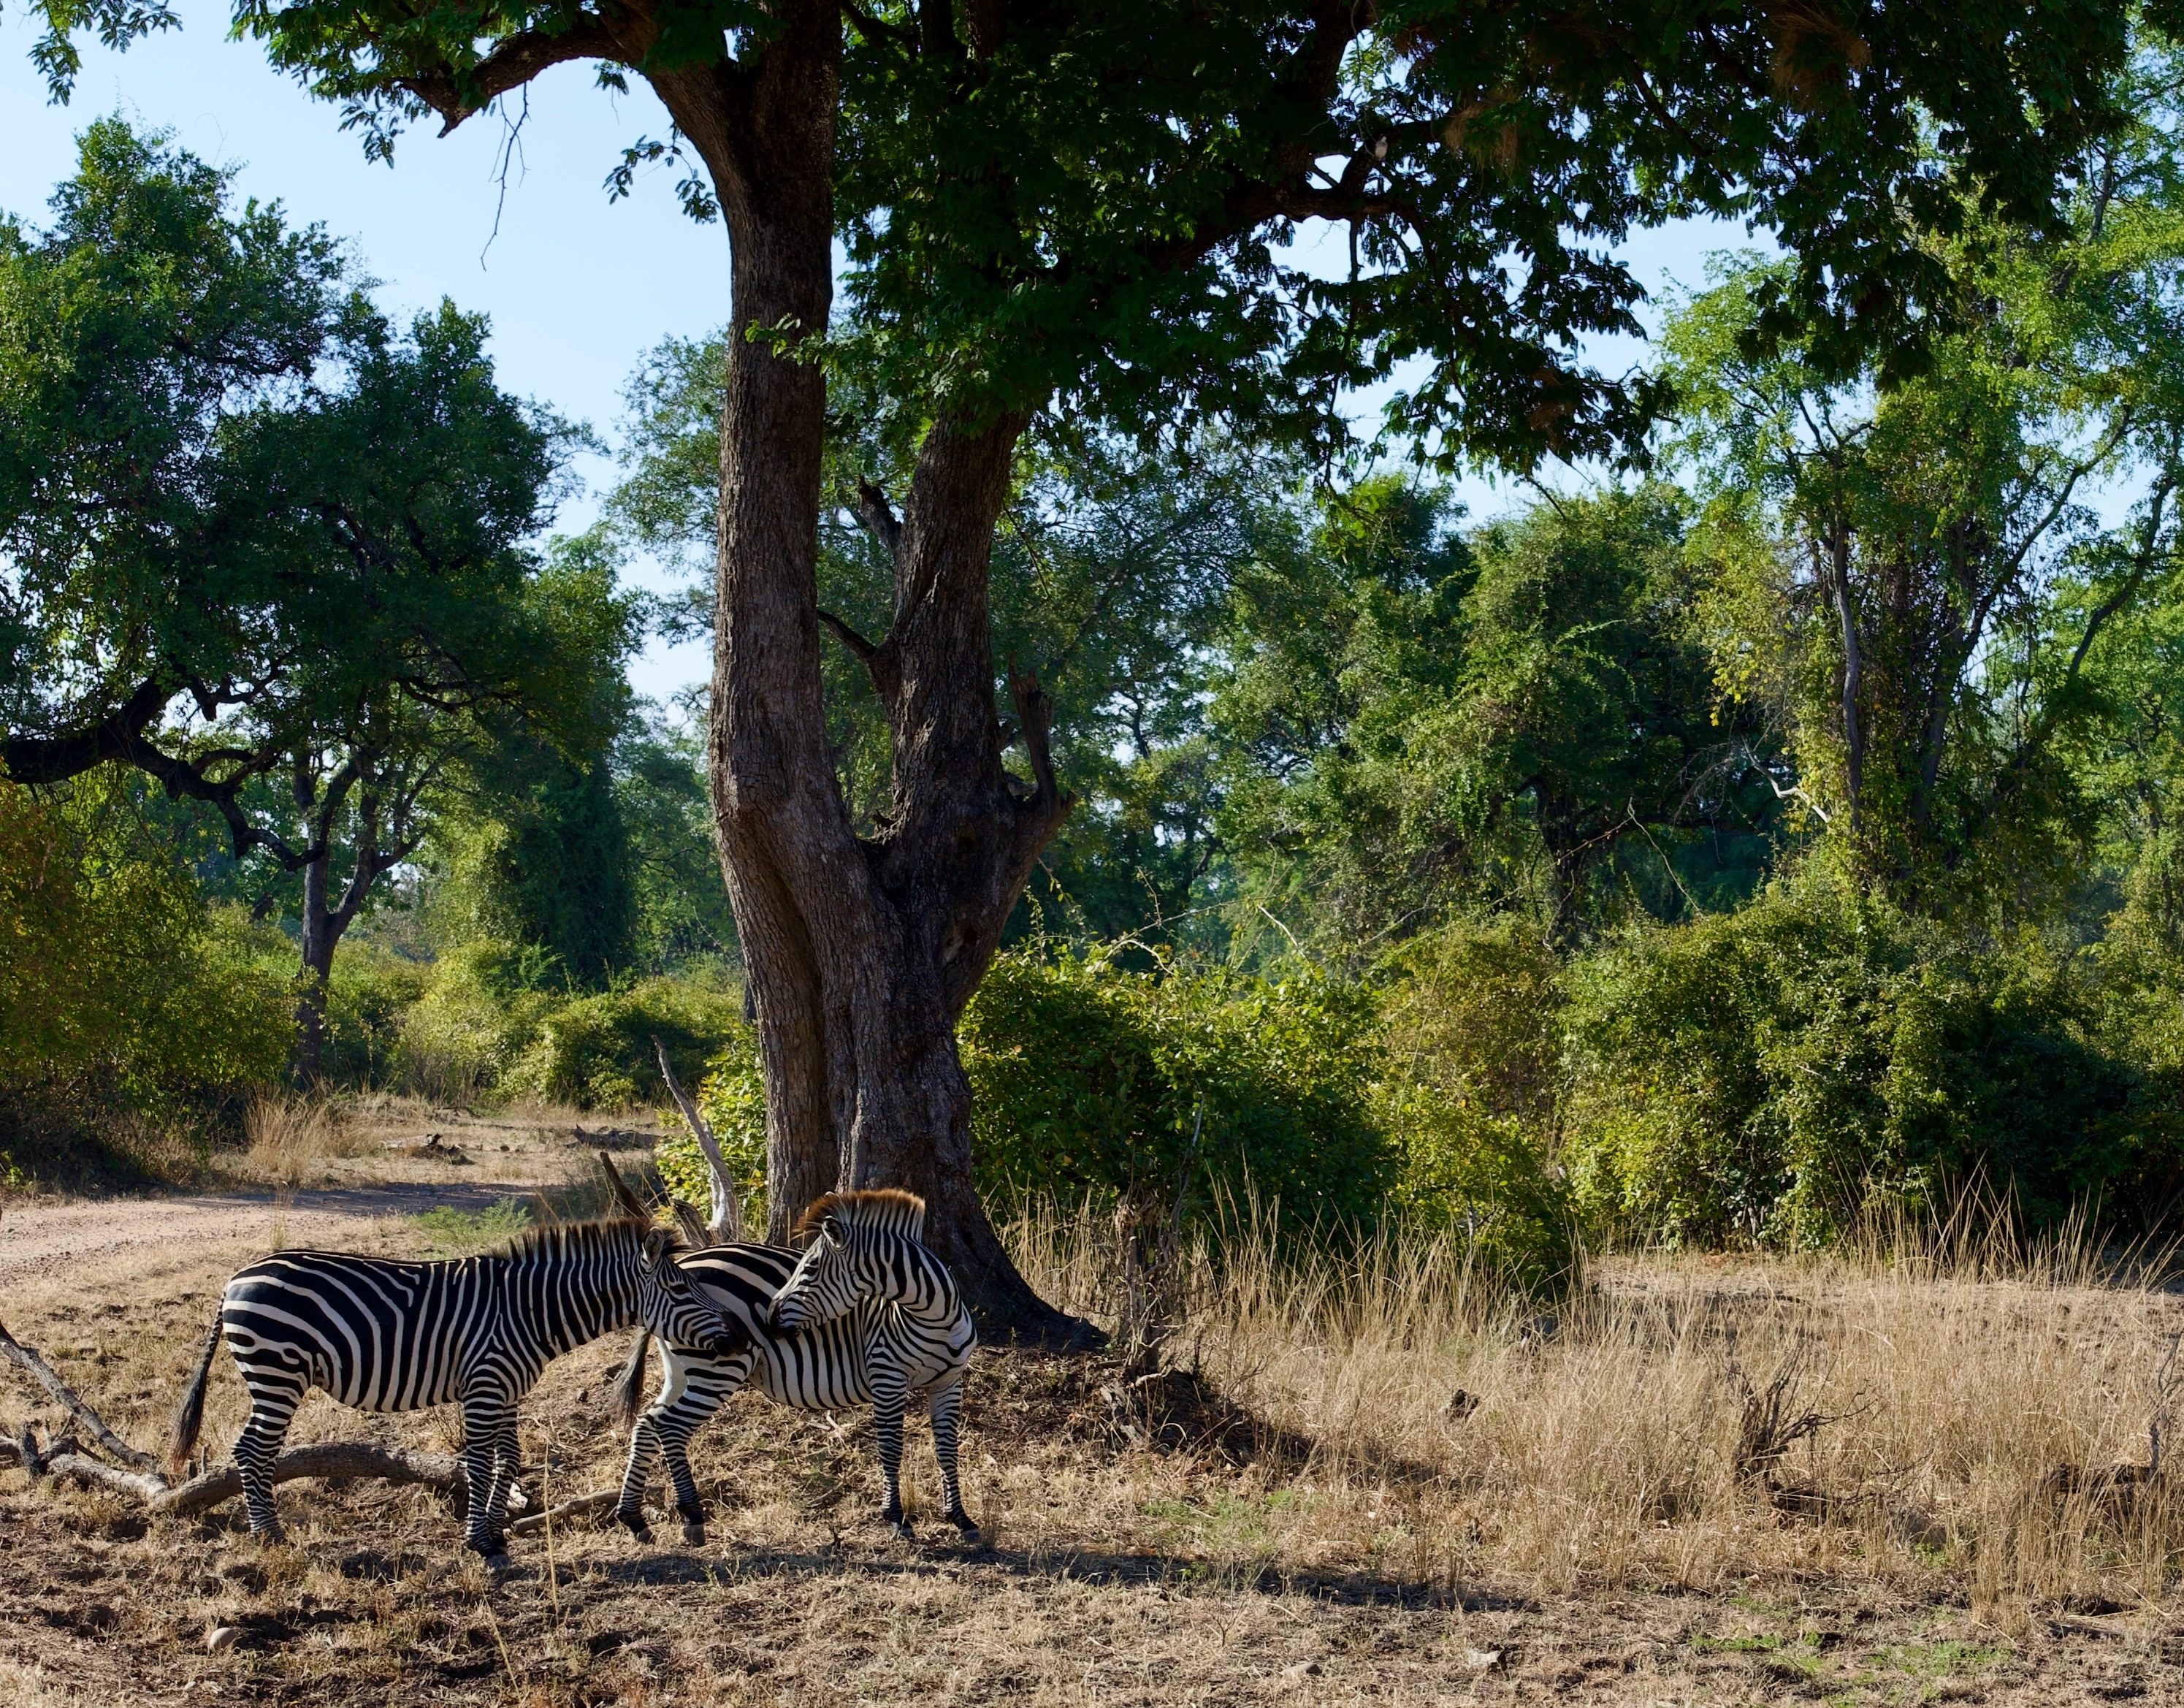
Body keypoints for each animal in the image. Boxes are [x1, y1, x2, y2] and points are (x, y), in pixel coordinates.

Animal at [166, 1218, 741, 1561]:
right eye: (680, 1287)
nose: (735, 1335)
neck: (529, 1312)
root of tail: (235, 1277)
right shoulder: (485, 1386)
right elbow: (480, 1464)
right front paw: (480, 1544)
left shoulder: (507, 1390)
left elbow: (508, 1463)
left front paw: (498, 1534)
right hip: (277, 1371)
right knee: (253, 1449)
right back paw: (269, 1536)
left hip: (272, 1373)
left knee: (253, 1450)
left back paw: (267, 1532)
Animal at [611, 1188, 979, 1544]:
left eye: (810, 1270)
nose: (770, 1320)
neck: (935, 1319)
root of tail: (681, 1264)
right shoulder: (887, 1377)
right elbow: (890, 1447)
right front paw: (898, 1520)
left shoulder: (949, 1382)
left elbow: (947, 1449)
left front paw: (961, 1519)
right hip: (718, 1369)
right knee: (670, 1426)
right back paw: (691, 1517)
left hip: (681, 1371)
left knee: (647, 1422)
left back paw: (634, 1518)